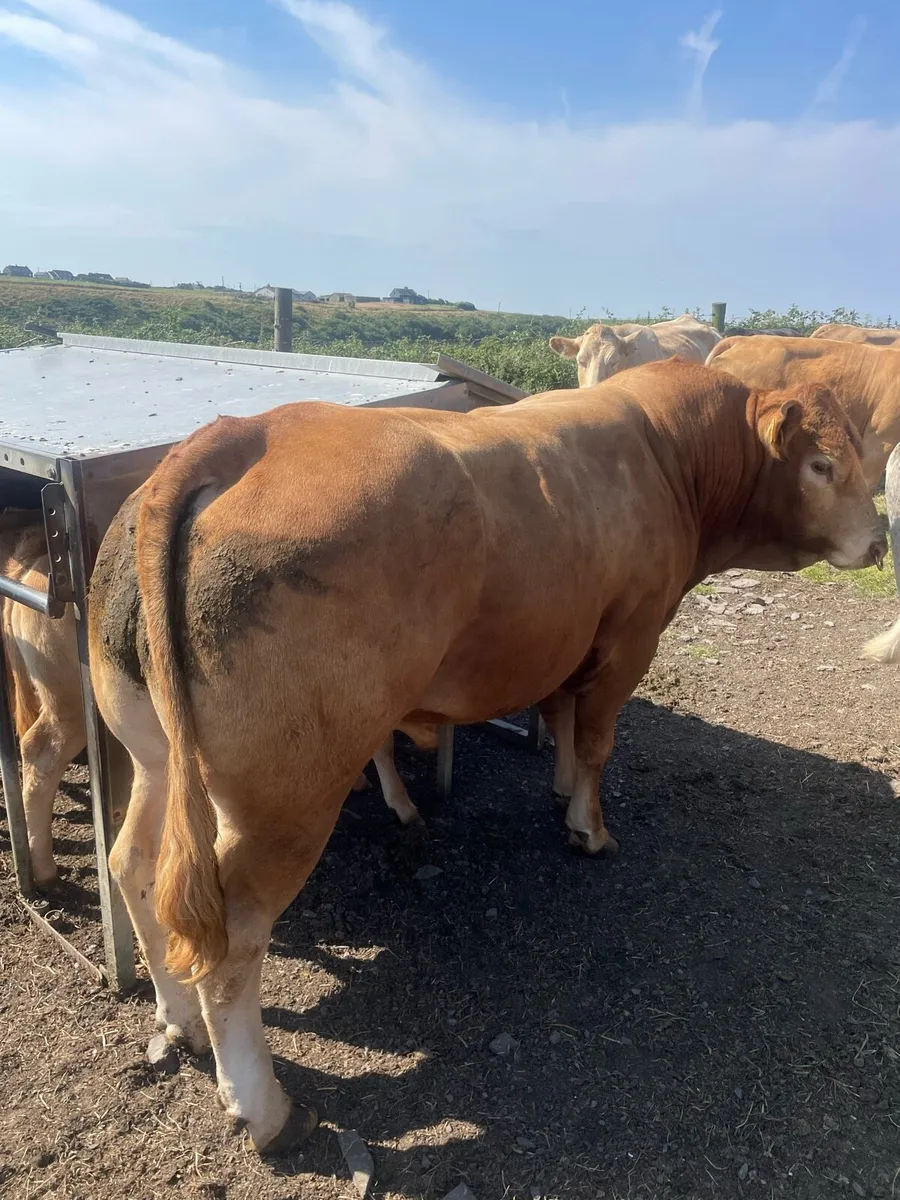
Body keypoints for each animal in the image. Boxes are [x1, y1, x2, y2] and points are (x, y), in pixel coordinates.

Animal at [87, 359, 884, 1153]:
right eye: (823, 464)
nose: (879, 542)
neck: (668, 450)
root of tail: (238, 435)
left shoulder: (569, 634)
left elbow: (561, 715)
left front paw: (560, 788)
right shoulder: (630, 635)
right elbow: (596, 738)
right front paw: (589, 827)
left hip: (156, 753)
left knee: (134, 863)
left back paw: (177, 1021)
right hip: (285, 798)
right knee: (232, 940)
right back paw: (265, 1109)